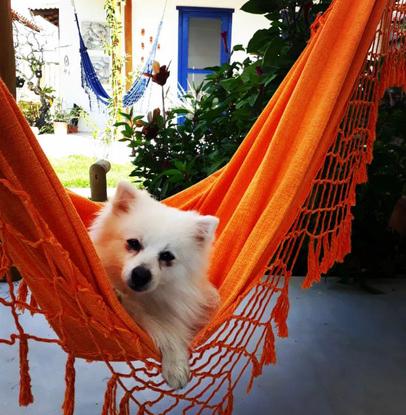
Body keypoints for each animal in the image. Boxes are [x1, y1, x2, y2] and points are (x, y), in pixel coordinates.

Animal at [90, 182, 220, 390]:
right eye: (133, 243)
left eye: (167, 256)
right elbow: (158, 326)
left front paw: (176, 365)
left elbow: (171, 329)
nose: (141, 274)